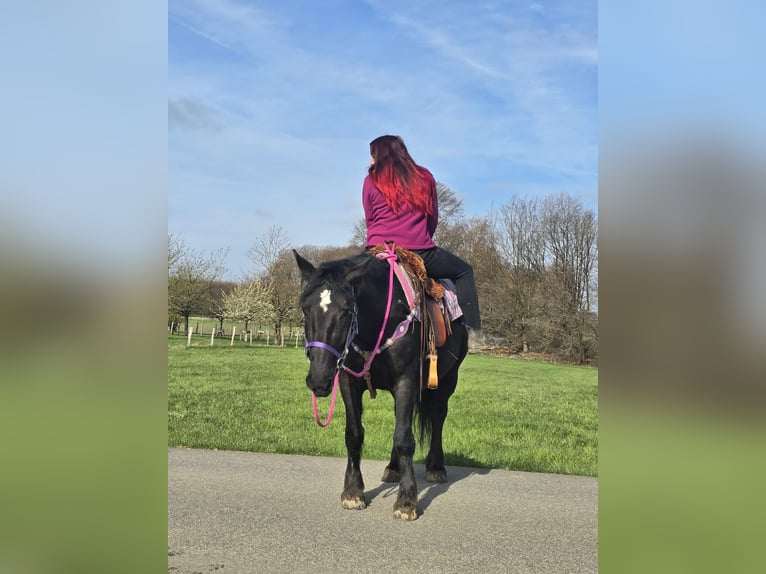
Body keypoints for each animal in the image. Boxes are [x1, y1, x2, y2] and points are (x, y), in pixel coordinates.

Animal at [294, 247, 468, 521]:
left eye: (347, 310)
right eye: (305, 309)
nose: (319, 379)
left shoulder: (407, 380)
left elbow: (405, 439)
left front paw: (406, 500)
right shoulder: (348, 382)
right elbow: (354, 434)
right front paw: (353, 492)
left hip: (448, 379)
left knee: (438, 415)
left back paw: (436, 466)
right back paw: (394, 467)